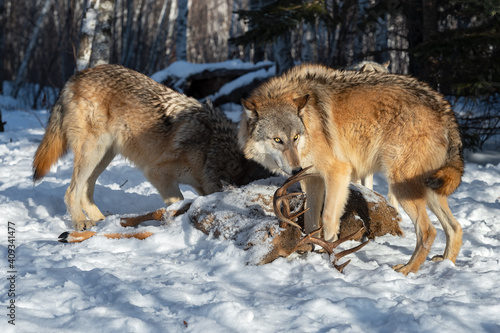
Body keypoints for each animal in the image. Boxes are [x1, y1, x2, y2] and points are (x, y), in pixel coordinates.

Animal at [238, 63, 464, 274]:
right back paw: (446, 264)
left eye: (295, 137)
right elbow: (311, 223)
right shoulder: (311, 179)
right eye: (277, 139)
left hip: (401, 186)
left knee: (428, 231)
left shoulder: (338, 172)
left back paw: (407, 270)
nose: (295, 169)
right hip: (429, 187)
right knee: (455, 227)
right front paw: (310, 249)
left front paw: (327, 254)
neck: (309, 124)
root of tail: (444, 107)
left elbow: (328, 218)